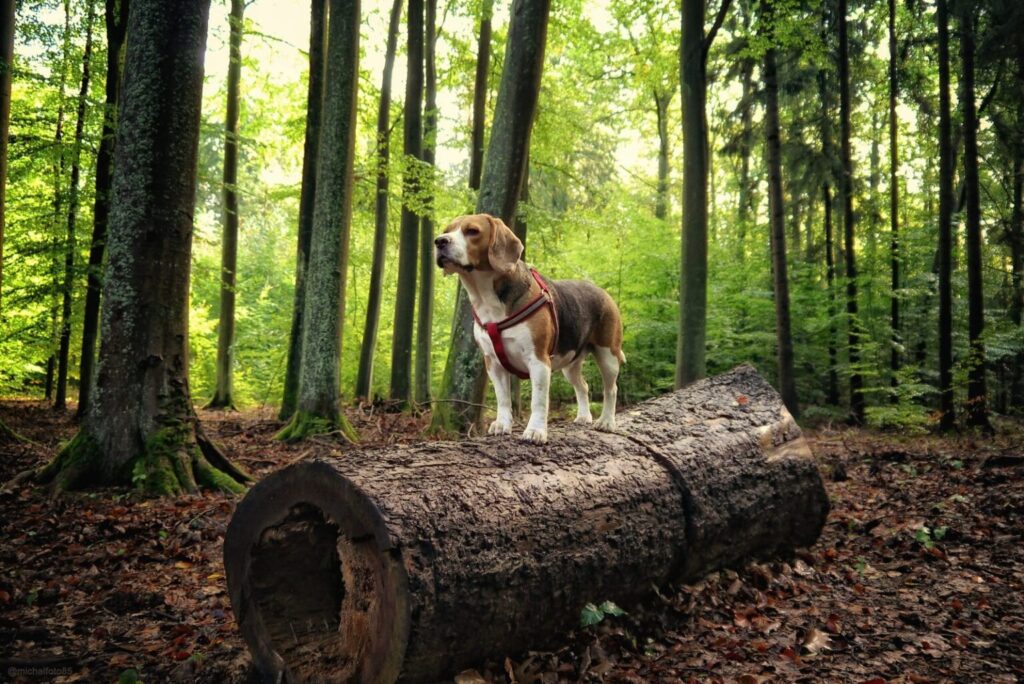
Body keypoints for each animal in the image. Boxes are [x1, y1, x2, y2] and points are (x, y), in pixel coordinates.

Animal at [434, 214, 622, 444]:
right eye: (447, 230)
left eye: (472, 231)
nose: (439, 241)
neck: (487, 300)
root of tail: (602, 291)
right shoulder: (493, 363)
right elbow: (503, 399)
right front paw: (502, 425)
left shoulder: (538, 360)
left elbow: (538, 401)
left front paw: (535, 431)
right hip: (570, 364)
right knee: (583, 386)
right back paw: (584, 417)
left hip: (608, 355)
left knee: (611, 389)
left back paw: (606, 422)